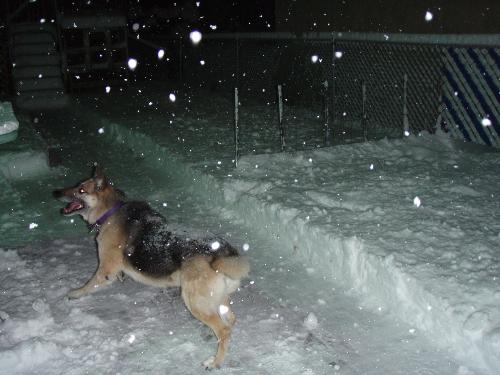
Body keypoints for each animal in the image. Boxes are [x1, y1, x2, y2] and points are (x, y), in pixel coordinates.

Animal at [53, 165, 249, 370]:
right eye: (77, 185)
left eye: (81, 190)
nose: (56, 192)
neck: (110, 211)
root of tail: (224, 252)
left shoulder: (105, 270)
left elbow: (89, 285)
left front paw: (75, 293)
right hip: (217, 299)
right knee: (231, 320)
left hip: (195, 302)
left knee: (224, 330)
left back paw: (216, 362)